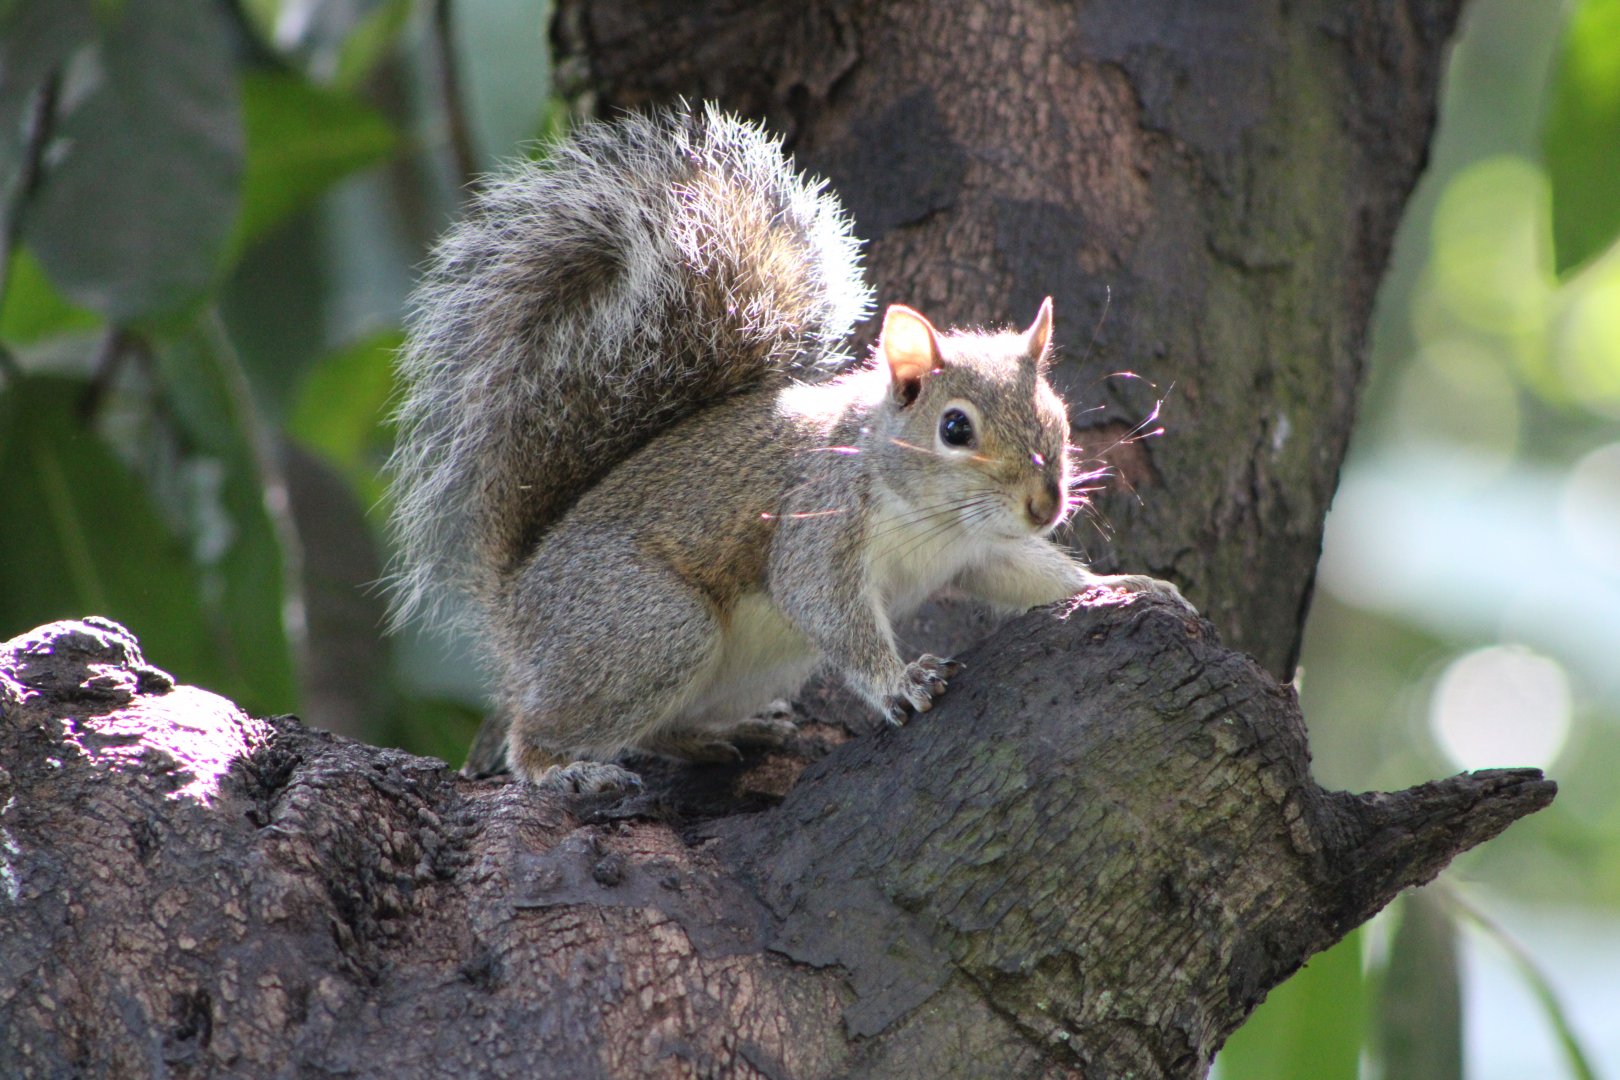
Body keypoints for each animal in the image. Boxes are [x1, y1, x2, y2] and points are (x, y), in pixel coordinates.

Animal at [386, 103, 1187, 794]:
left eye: (1056, 415)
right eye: (955, 428)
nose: (1045, 504)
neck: (930, 515)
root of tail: (514, 606)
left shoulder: (984, 550)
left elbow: (1031, 575)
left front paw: (1128, 586)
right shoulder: (819, 520)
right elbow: (823, 601)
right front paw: (899, 682)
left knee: (658, 728)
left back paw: (722, 734)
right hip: (647, 629)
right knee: (541, 732)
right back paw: (566, 769)